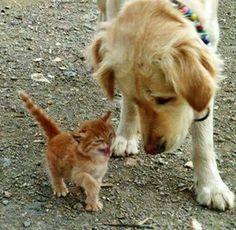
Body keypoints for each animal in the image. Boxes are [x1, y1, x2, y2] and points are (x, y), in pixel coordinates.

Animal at [90, 0, 234, 210]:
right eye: (137, 99)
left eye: (164, 99)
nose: (151, 149)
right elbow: (128, 104)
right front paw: (125, 136)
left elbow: (204, 141)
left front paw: (212, 186)